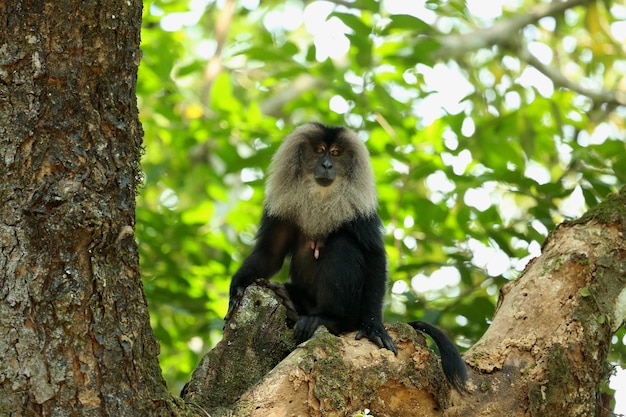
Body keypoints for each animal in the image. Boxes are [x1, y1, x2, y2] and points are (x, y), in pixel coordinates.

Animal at [227, 122, 466, 392]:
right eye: (320, 150)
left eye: (336, 153)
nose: (327, 165)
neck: (321, 196)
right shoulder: (281, 207)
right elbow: (270, 253)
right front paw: (237, 288)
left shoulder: (360, 210)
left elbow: (374, 255)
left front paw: (374, 327)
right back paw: (291, 301)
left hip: (352, 309)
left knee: (341, 244)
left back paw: (330, 319)